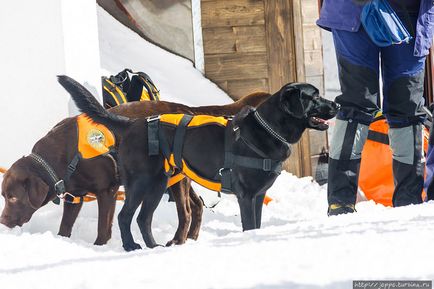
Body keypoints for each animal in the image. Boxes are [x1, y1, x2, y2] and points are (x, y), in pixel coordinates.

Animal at [0, 89, 270, 244]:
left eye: (12, 197)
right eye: (4, 196)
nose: (2, 221)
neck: (62, 157)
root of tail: (186, 109)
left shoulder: (106, 191)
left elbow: (103, 228)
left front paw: (100, 246)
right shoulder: (74, 197)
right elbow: (65, 227)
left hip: (173, 180)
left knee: (187, 210)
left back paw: (180, 240)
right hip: (177, 178)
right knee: (196, 205)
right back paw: (190, 238)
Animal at [59, 76, 340, 250]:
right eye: (314, 96)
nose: (337, 104)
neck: (266, 129)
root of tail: (129, 124)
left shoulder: (259, 195)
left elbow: (257, 225)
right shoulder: (247, 196)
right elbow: (249, 226)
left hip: (159, 184)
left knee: (143, 219)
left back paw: (154, 247)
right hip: (142, 183)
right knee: (125, 216)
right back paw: (131, 247)